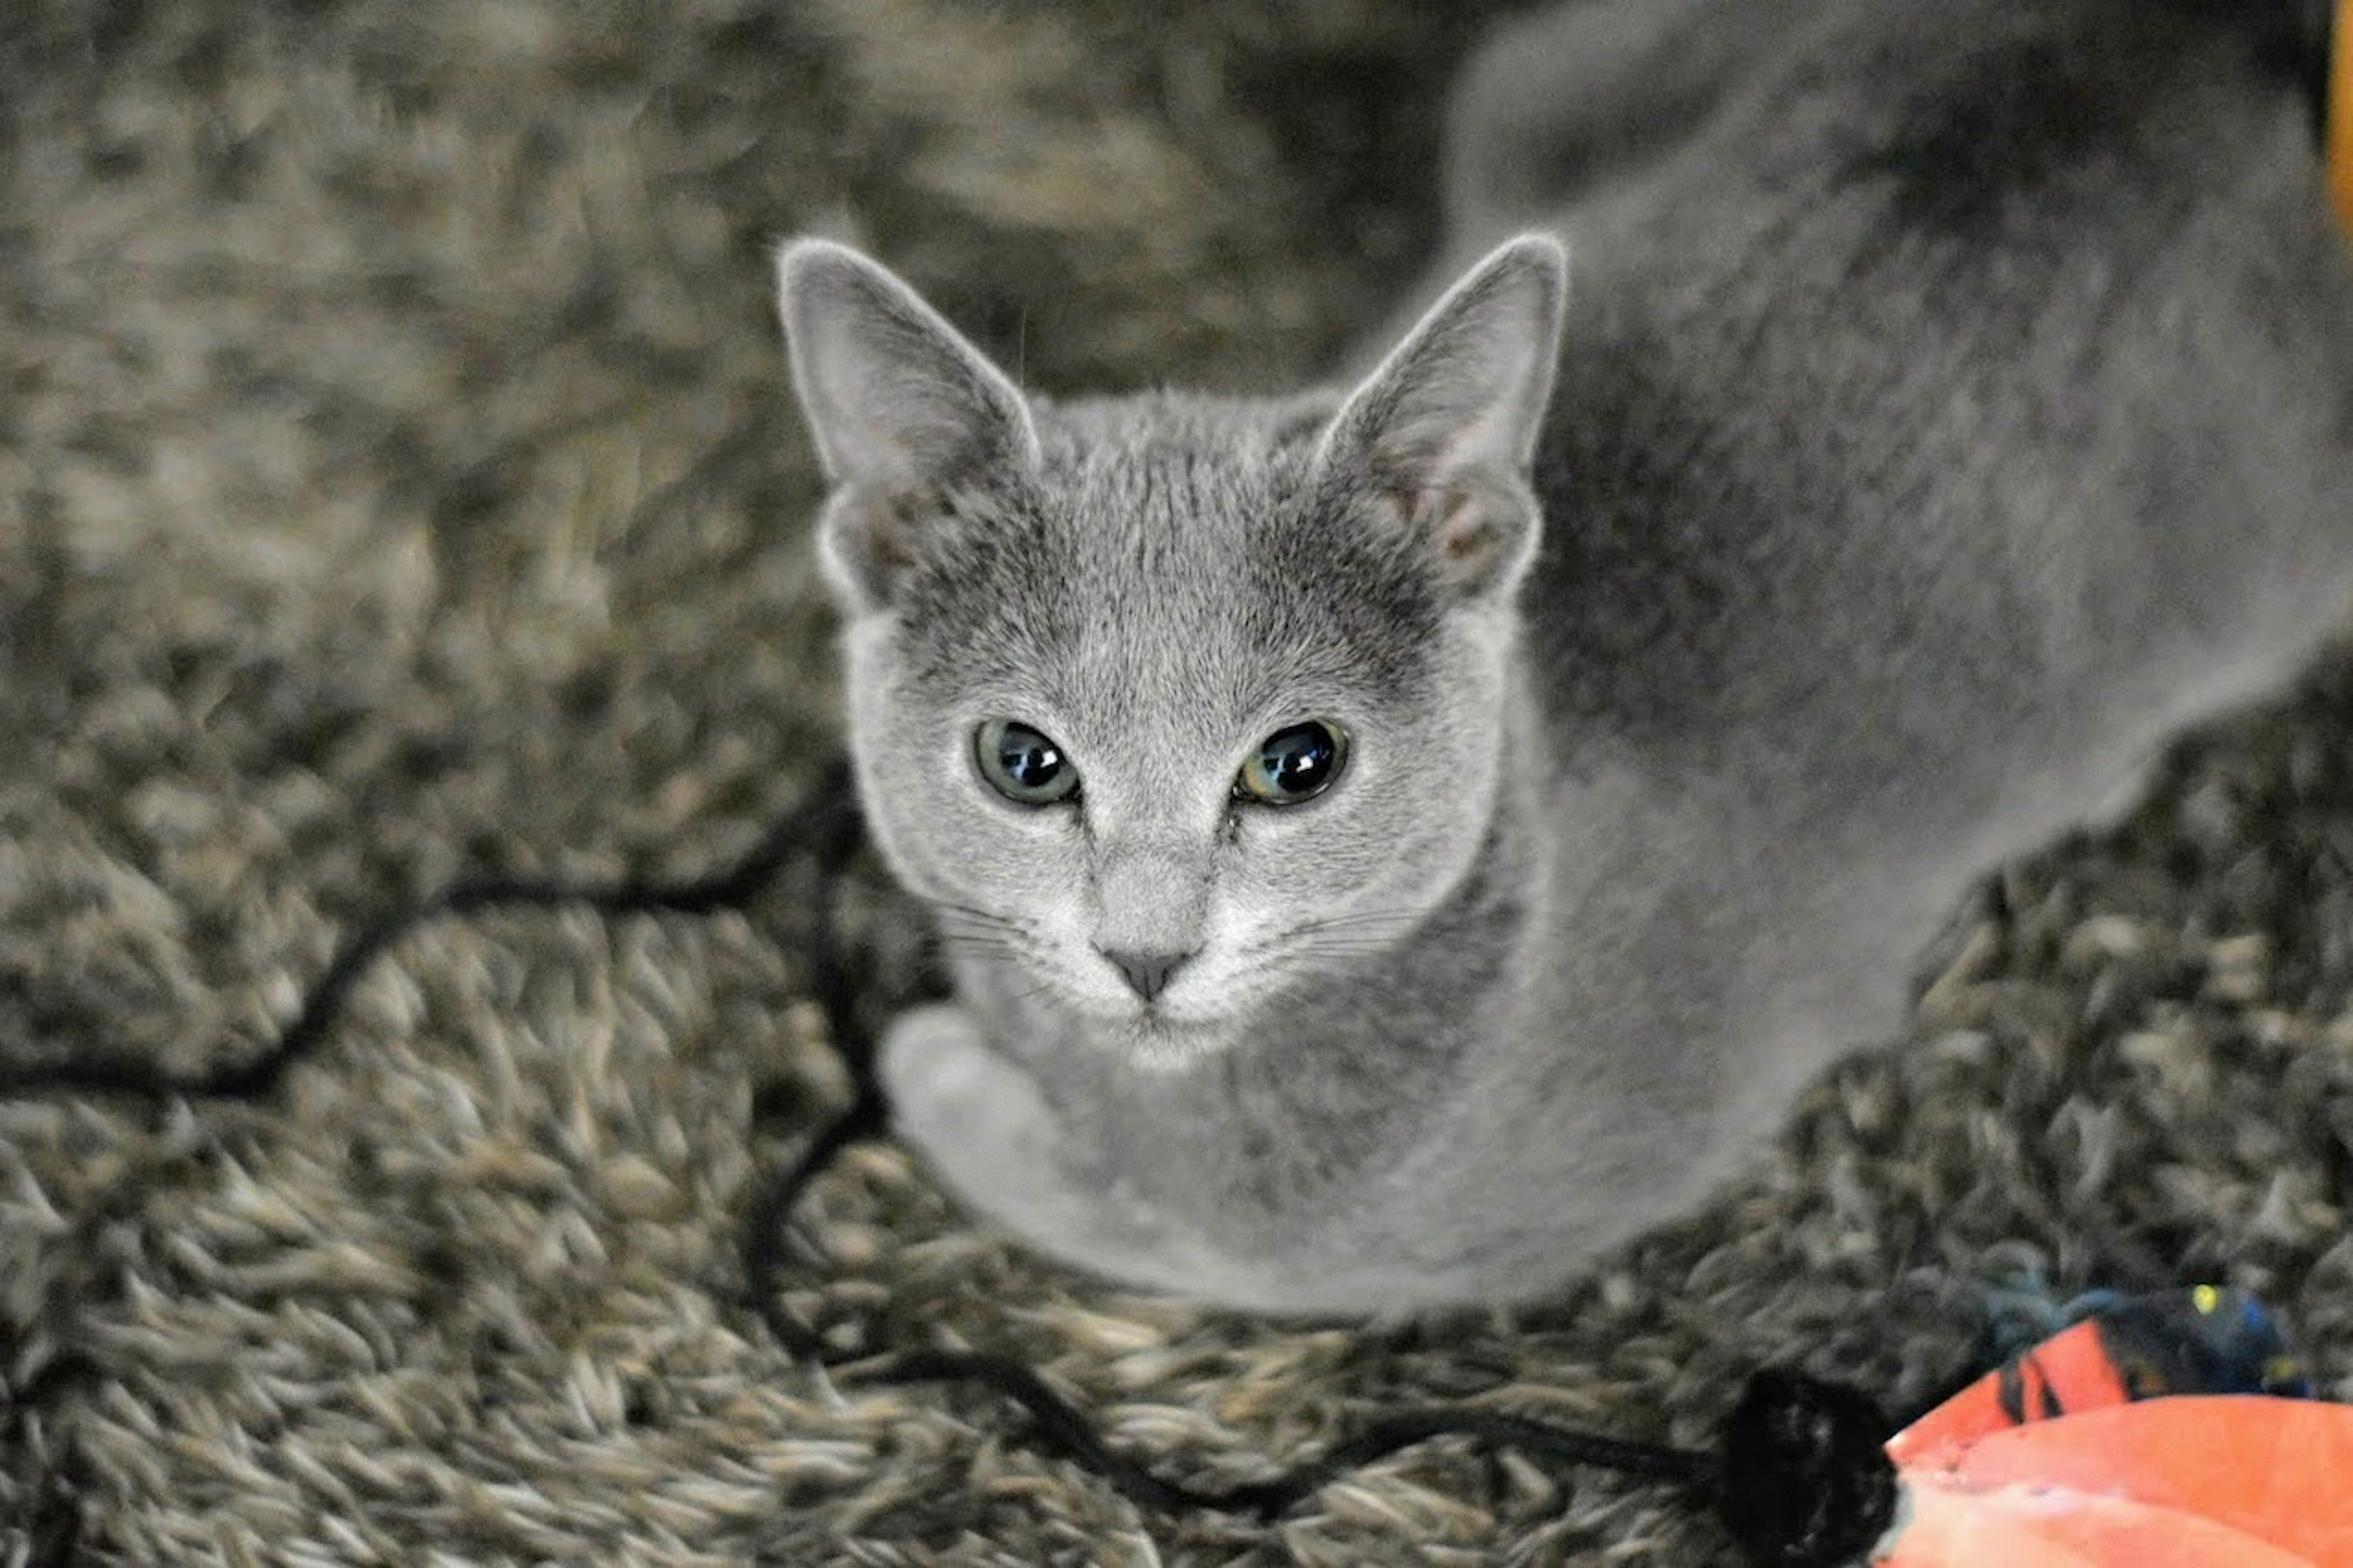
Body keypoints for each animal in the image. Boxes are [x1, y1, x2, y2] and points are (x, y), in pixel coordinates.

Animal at [776, 0, 2353, 1309]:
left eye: (1298, 765)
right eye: (1022, 761)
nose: (1144, 950)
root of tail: (2170, 38)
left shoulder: (1462, 1221)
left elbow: (1207, 1236)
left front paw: (940, 1070)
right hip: (1540, 76)